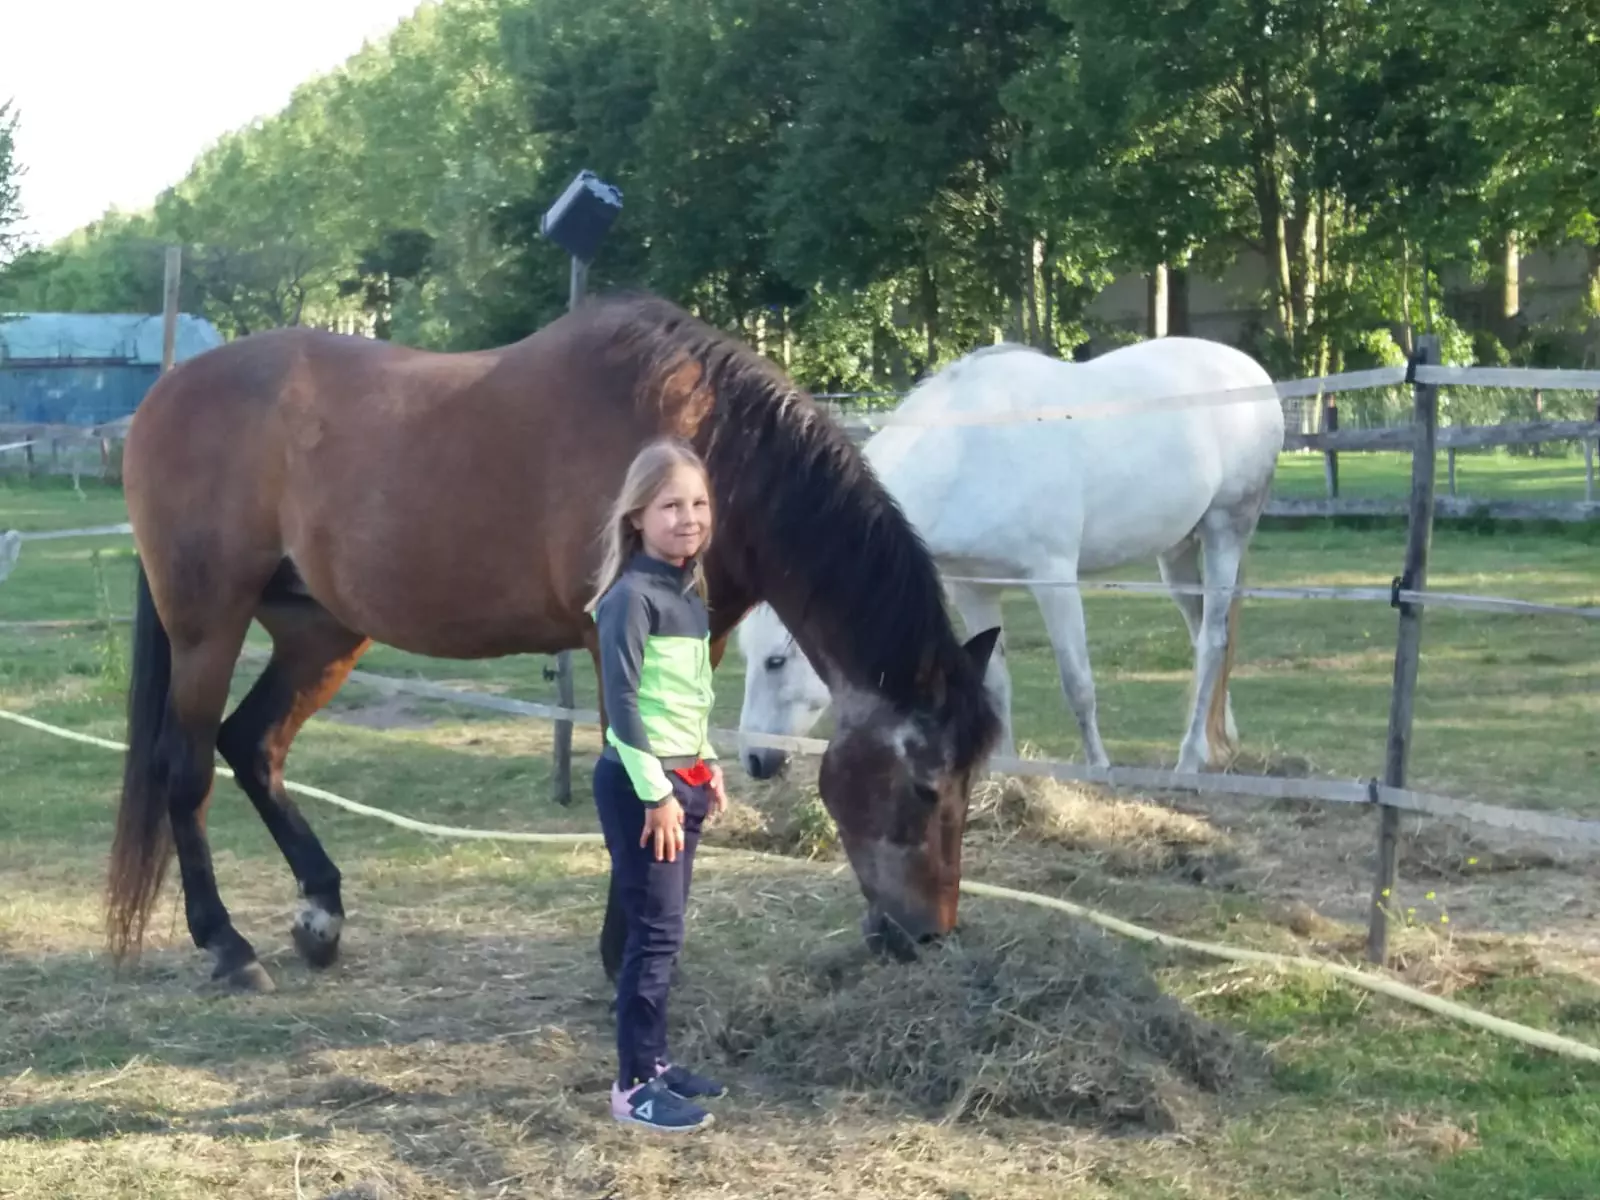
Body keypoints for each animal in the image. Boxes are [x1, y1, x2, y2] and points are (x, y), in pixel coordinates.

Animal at [107, 291, 1002, 992]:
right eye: (925, 787)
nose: (928, 934)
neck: (704, 451)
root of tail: (168, 392)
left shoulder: (698, 644)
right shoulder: (614, 645)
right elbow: (635, 790)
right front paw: (624, 952)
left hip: (320, 631)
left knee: (254, 745)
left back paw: (320, 914)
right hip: (208, 624)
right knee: (187, 768)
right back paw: (227, 945)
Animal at [738, 336, 1284, 780]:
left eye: (775, 660)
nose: (754, 760)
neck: (968, 450)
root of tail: (1250, 371)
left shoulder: (1053, 578)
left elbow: (1077, 683)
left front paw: (1098, 770)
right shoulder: (972, 588)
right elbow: (996, 684)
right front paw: (1005, 771)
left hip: (1224, 531)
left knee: (1213, 642)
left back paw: (1188, 761)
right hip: (1177, 553)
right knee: (1202, 633)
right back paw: (1215, 744)